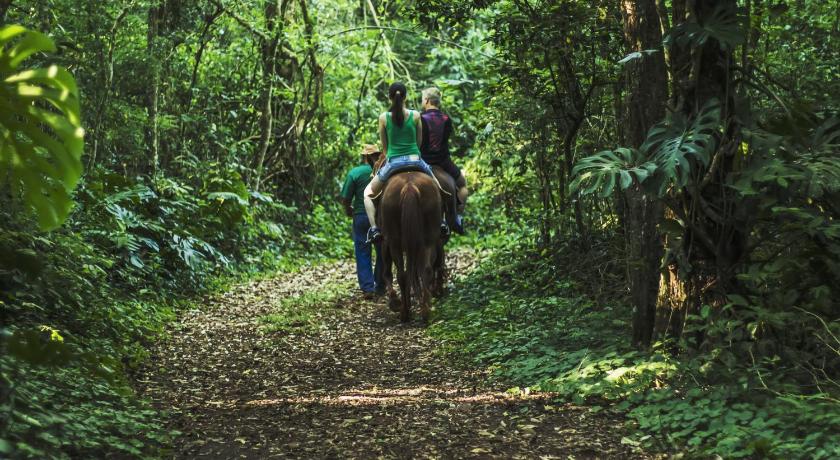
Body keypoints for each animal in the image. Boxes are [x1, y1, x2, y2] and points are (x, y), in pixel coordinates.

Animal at [382, 171, 446, 322]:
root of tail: (410, 187)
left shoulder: (386, 240)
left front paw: (396, 302)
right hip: (429, 237)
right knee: (426, 270)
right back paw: (426, 311)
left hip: (395, 241)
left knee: (402, 274)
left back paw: (404, 312)